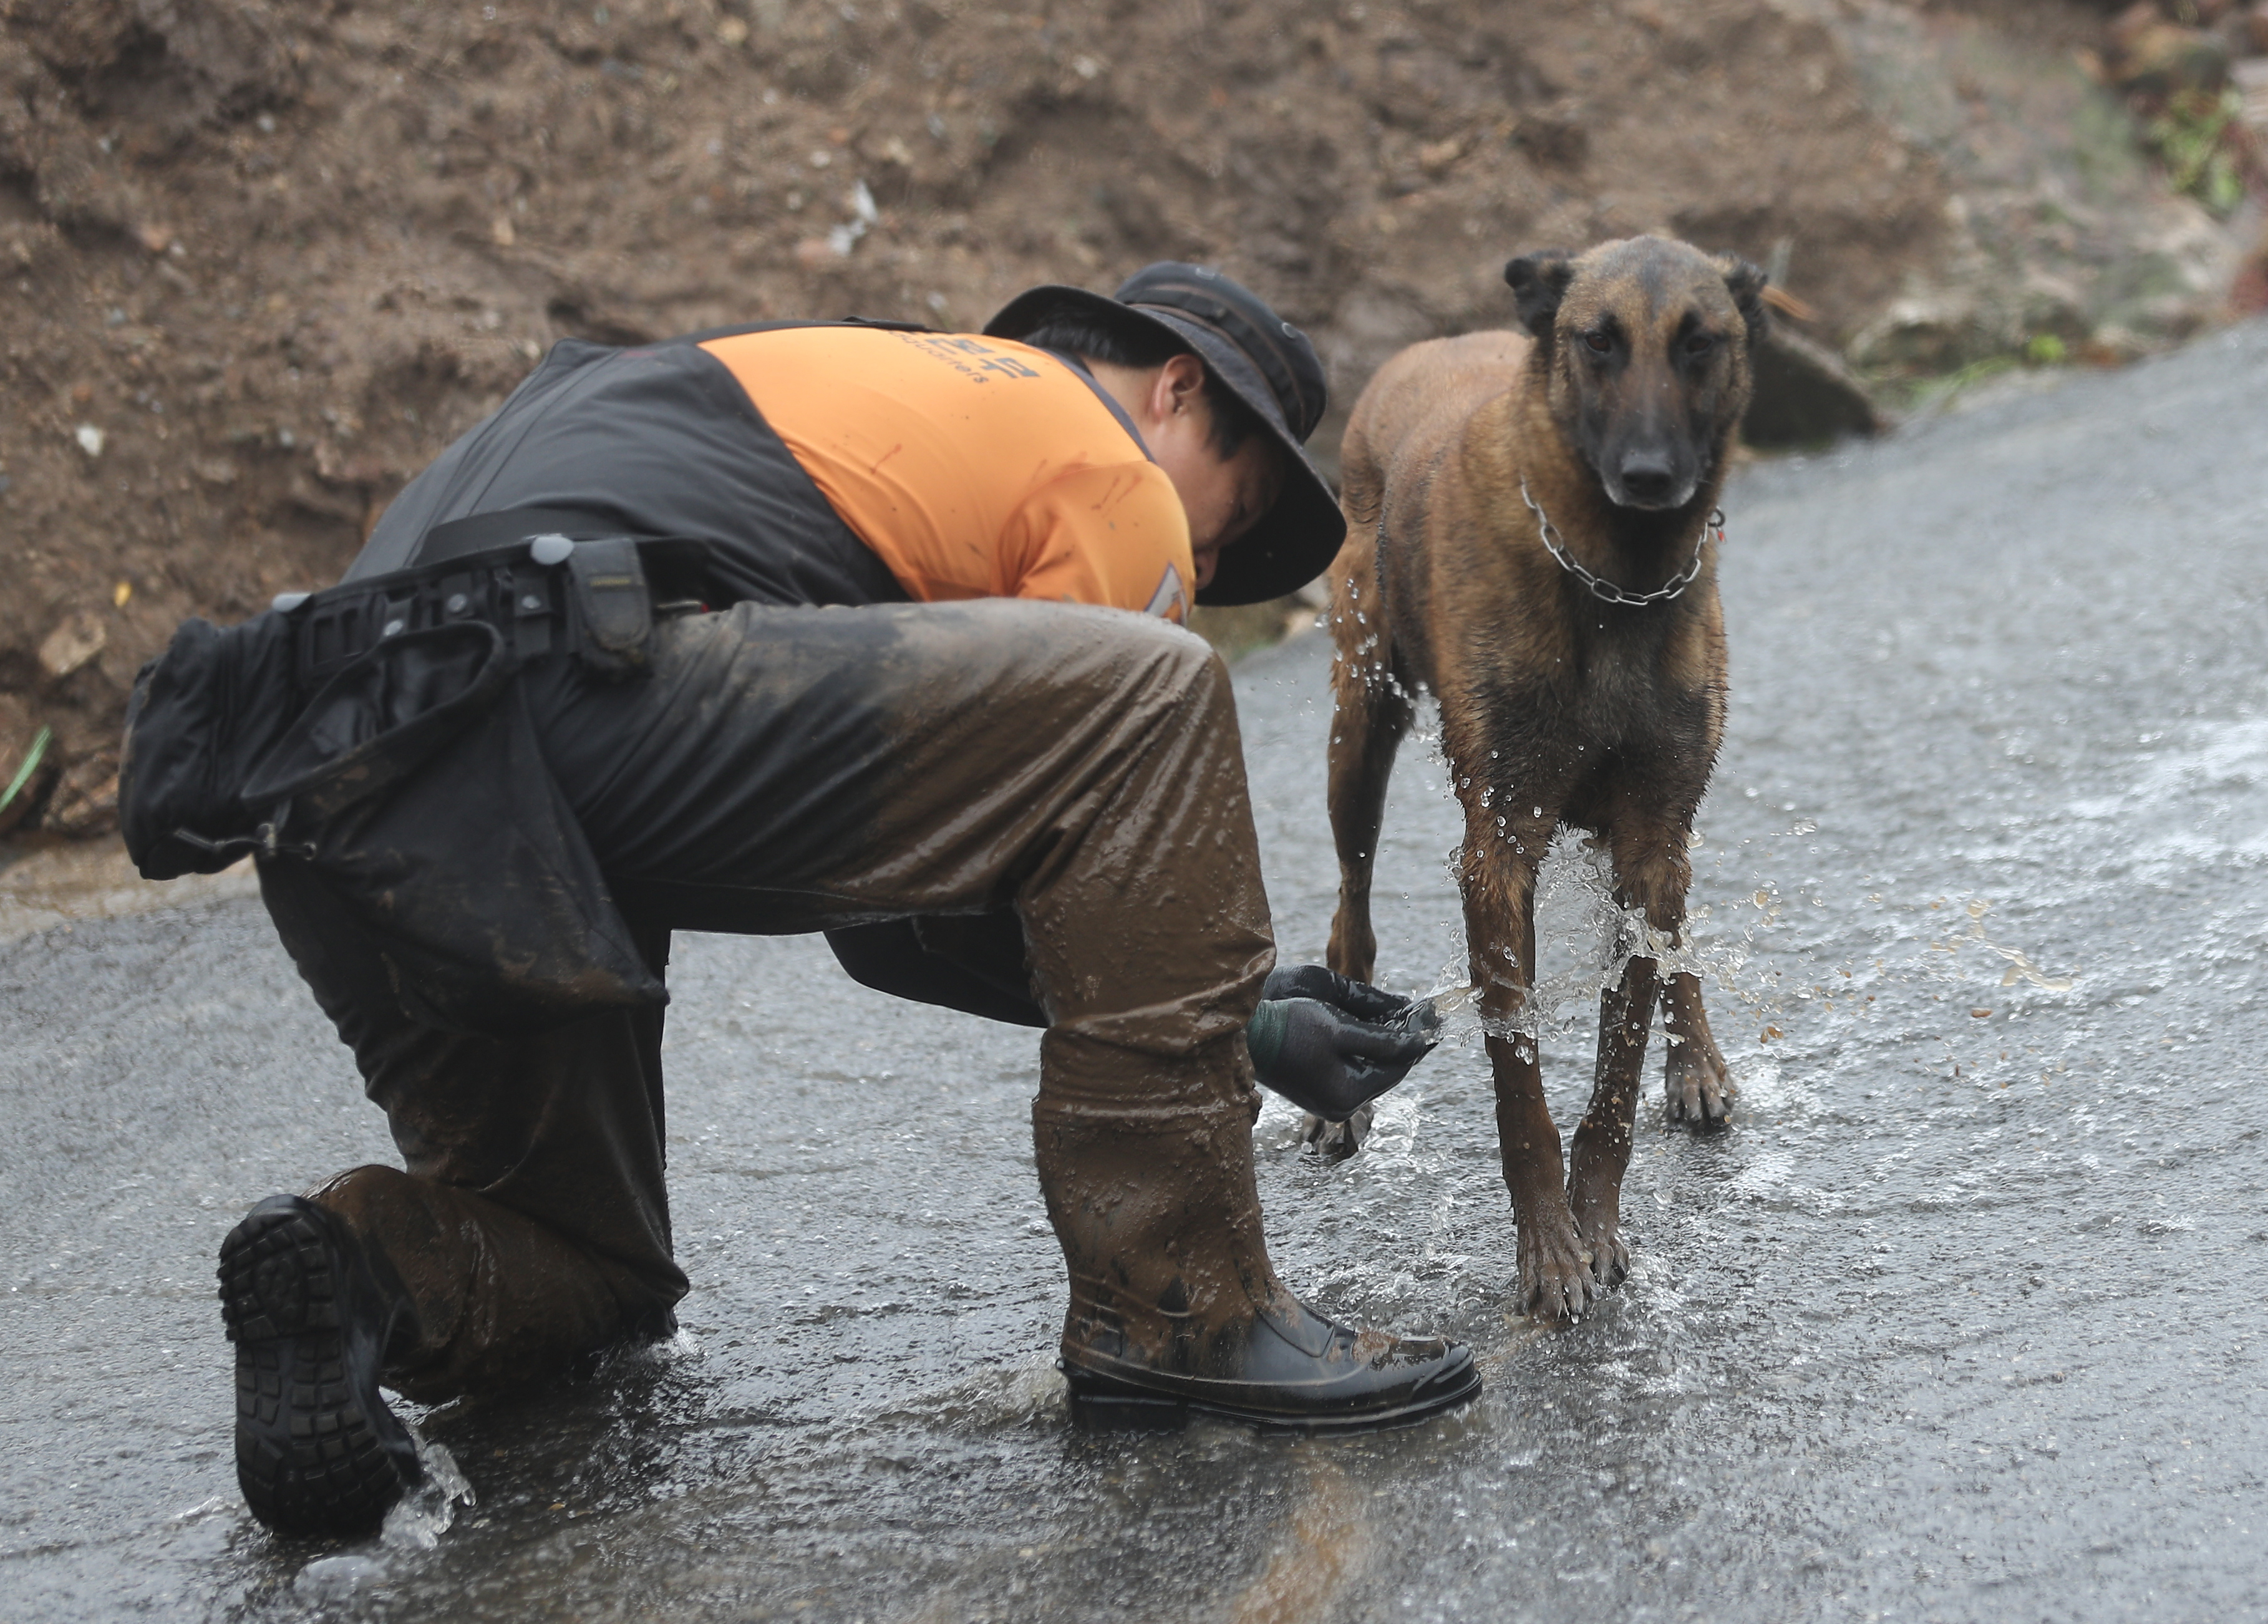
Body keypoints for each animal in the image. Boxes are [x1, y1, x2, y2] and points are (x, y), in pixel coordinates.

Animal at [1324, 238, 1760, 1315]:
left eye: (1701, 342)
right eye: (1597, 341)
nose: (1649, 476)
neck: (1616, 579)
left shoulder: (1649, 836)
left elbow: (1618, 1066)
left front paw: (1594, 1224)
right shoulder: (1499, 851)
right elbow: (1517, 1079)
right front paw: (1550, 1251)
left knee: (1676, 941)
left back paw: (1698, 1060)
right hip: (1360, 735)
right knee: (1351, 899)